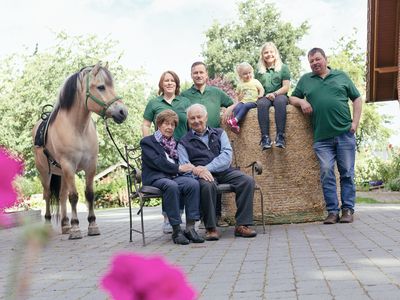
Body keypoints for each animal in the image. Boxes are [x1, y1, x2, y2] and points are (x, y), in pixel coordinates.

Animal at [32, 62, 128, 239]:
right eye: (101, 87)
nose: (122, 112)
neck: (78, 129)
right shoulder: (69, 166)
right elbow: (74, 197)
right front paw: (76, 228)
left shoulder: (90, 166)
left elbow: (89, 194)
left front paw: (92, 225)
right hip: (46, 173)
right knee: (48, 196)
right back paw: (49, 226)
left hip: (62, 173)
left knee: (61, 196)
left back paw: (65, 225)